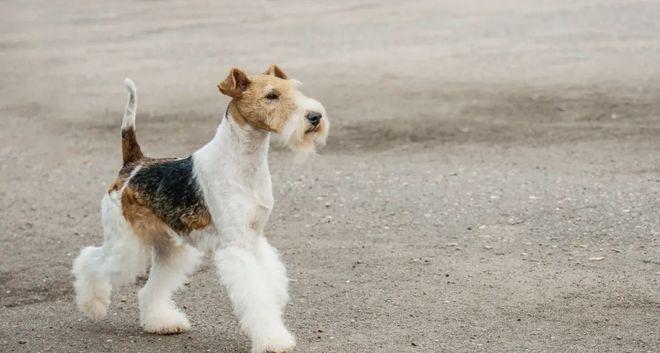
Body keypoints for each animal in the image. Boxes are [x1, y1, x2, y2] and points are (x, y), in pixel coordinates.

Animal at [71, 64, 328, 352]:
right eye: (271, 95)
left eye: (295, 90)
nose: (315, 117)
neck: (244, 163)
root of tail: (133, 164)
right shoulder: (236, 245)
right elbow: (255, 295)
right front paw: (273, 340)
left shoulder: (255, 237)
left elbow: (269, 284)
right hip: (126, 245)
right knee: (89, 259)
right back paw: (92, 305)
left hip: (170, 248)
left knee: (149, 289)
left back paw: (162, 322)